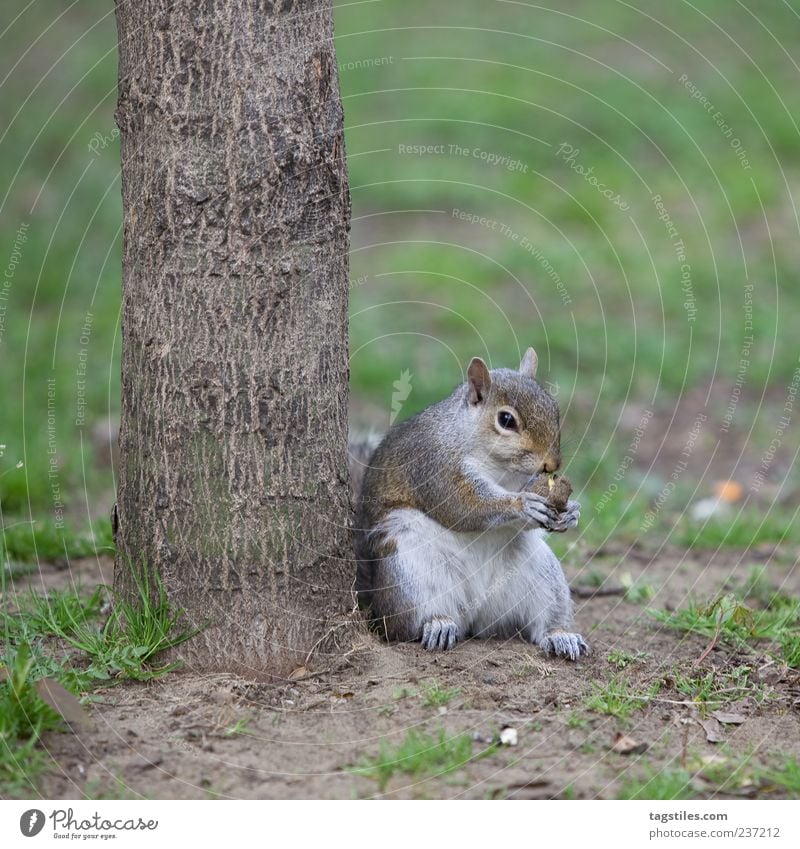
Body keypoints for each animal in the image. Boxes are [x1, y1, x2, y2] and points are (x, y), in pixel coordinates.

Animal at [354, 348, 592, 660]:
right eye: (506, 420)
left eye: (553, 408)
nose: (553, 464)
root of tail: (475, 611)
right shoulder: (434, 465)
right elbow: (463, 506)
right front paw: (522, 504)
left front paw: (571, 512)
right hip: (409, 575)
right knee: (405, 625)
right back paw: (437, 624)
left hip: (543, 575)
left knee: (545, 617)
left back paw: (560, 635)